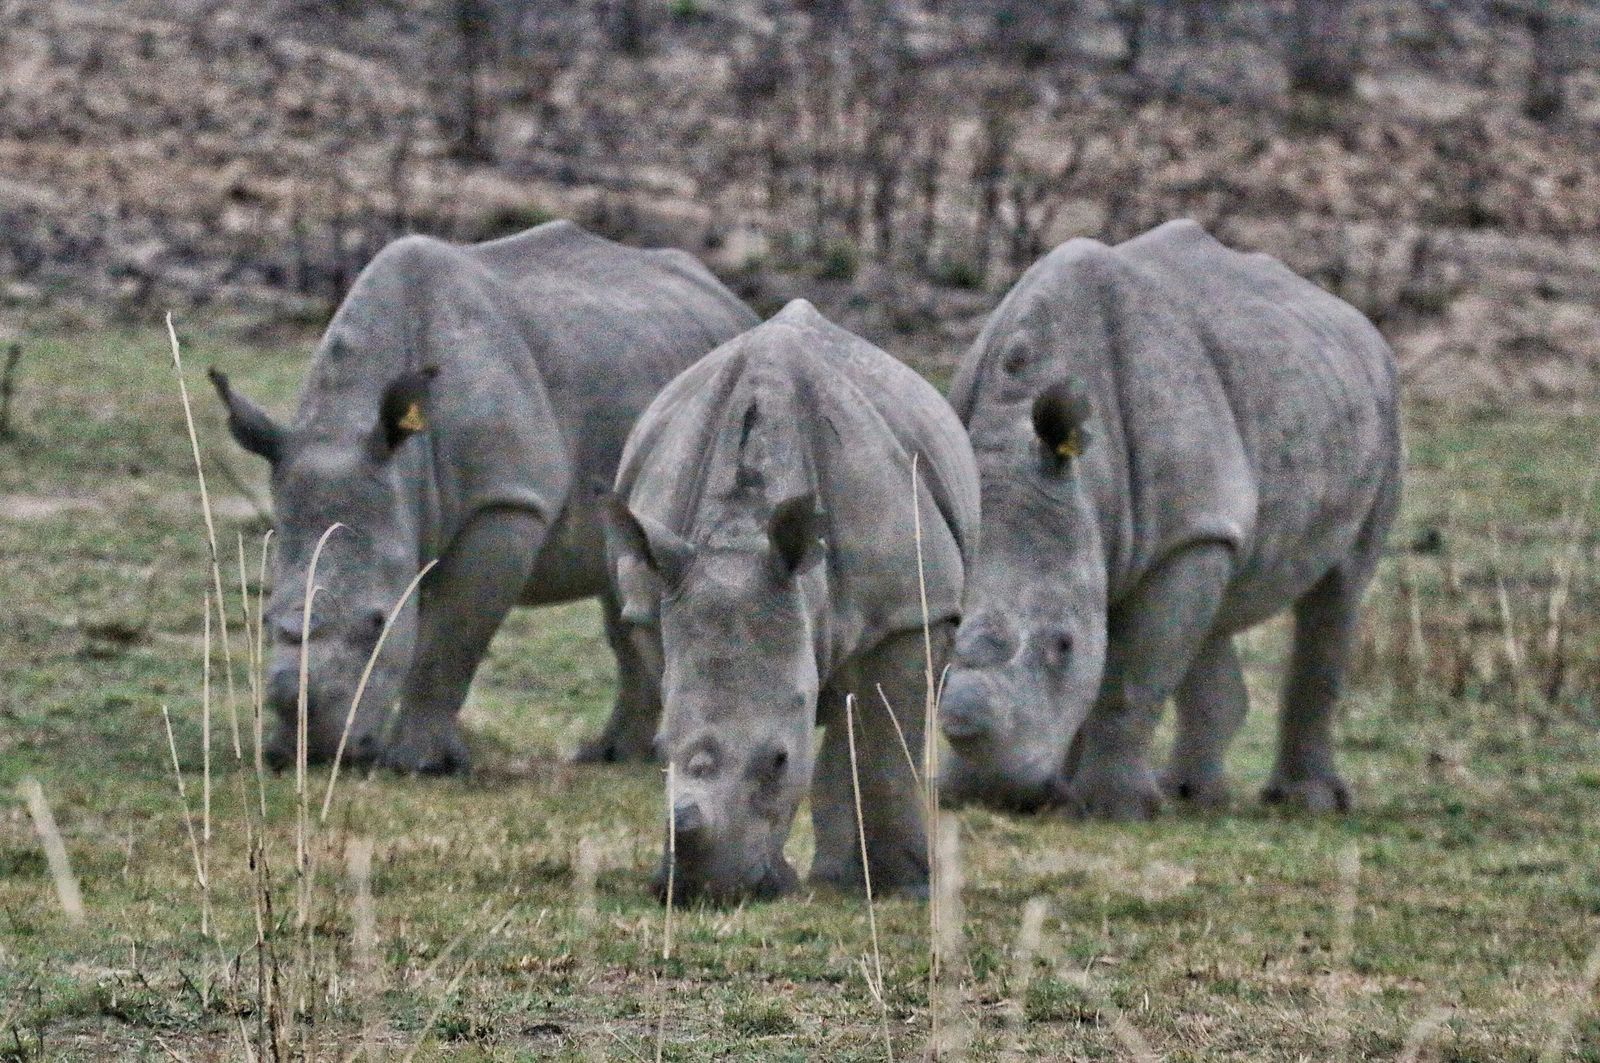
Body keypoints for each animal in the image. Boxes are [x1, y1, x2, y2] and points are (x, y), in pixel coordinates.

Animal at [209, 221, 757, 774]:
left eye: (378, 623)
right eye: (264, 619)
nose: (315, 754)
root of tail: (730, 300)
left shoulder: (505, 504)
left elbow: (448, 639)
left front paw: (418, 764)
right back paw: (611, 756)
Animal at [604, 300, 979, 903]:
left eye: (779, 761)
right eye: (658, 750)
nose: (705, 892)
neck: (738, 534)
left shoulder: (908, 612)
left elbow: (884, 751)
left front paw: (906, 889)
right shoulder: (657, 602)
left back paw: (846, 878)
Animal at [939, 220, 1400, 819]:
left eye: (1063, 645)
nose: (988, 795)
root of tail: (1358, 321)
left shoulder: (1186, 533)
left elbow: (1131, 676)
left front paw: (1112, 810)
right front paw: (1044, 793)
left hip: (1382, 408)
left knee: (1340, 587)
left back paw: (1306, 803)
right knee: (1216, 607)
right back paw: (1193, 797)